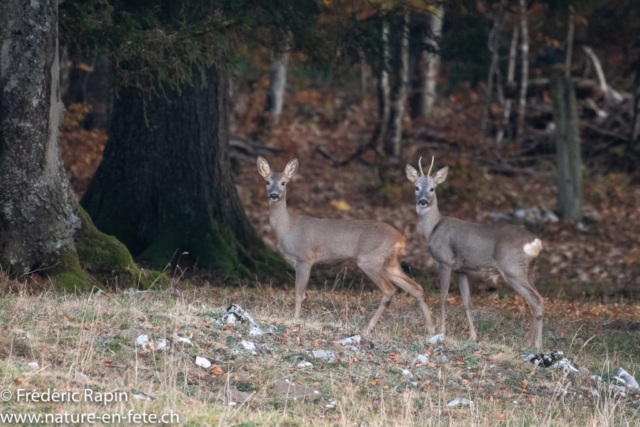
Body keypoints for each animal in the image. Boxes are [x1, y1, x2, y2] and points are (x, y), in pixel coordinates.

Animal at [258, 155, 438, 336]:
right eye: (267, 182)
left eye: (283, 183)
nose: (274, 195)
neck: (287, 227)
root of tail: (400, 239)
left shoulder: (305, 259)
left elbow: (299, 293)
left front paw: (295, 320)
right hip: (390, 263)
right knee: (416, 287)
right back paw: (431, 330)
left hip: (370, 260)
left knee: (389, 290)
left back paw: (368, 328)